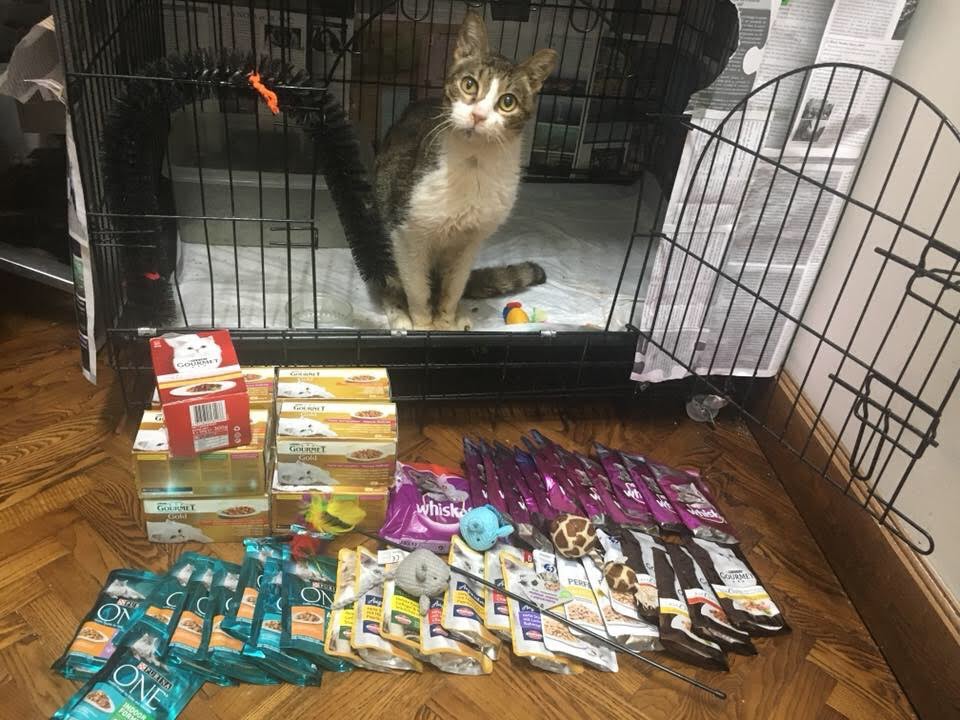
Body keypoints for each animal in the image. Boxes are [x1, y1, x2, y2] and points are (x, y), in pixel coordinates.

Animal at [374, 11, 560, 332]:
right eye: (469, 84)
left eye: (508, 101)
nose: (478, 115)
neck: (474, 163)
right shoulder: (406, 234)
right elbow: (417, 288)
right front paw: (423, 323)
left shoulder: (470, 241)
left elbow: (453, 287)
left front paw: (446, 320)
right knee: (389, 281)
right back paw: (399, 316)